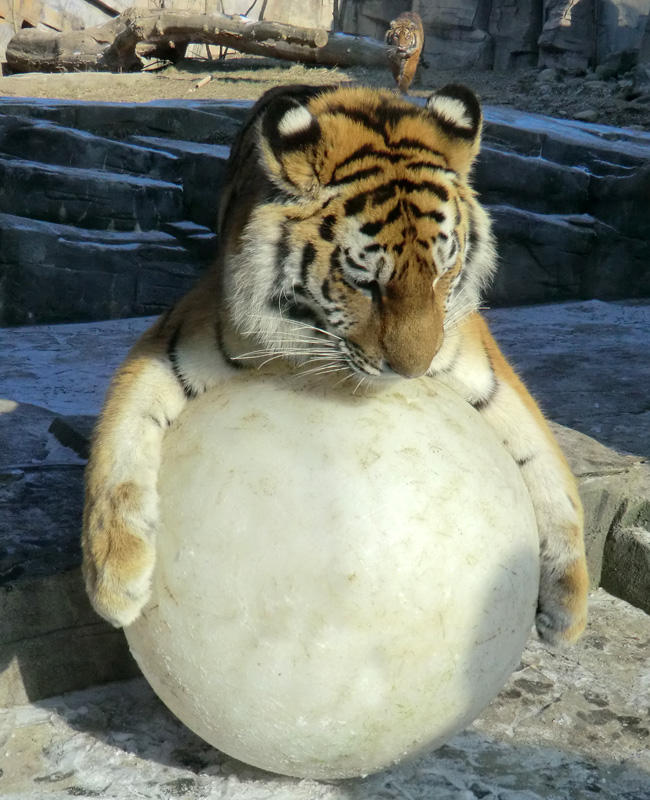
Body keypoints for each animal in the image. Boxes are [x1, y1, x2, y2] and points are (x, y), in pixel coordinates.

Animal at [81, 81, 588, 648]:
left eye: (441, 273)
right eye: (366, 282)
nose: (412, 371)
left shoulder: (479, 364)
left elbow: (548, 465)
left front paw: (569, 607)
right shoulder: (178, 339)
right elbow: (119, 444)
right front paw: (114, 580)